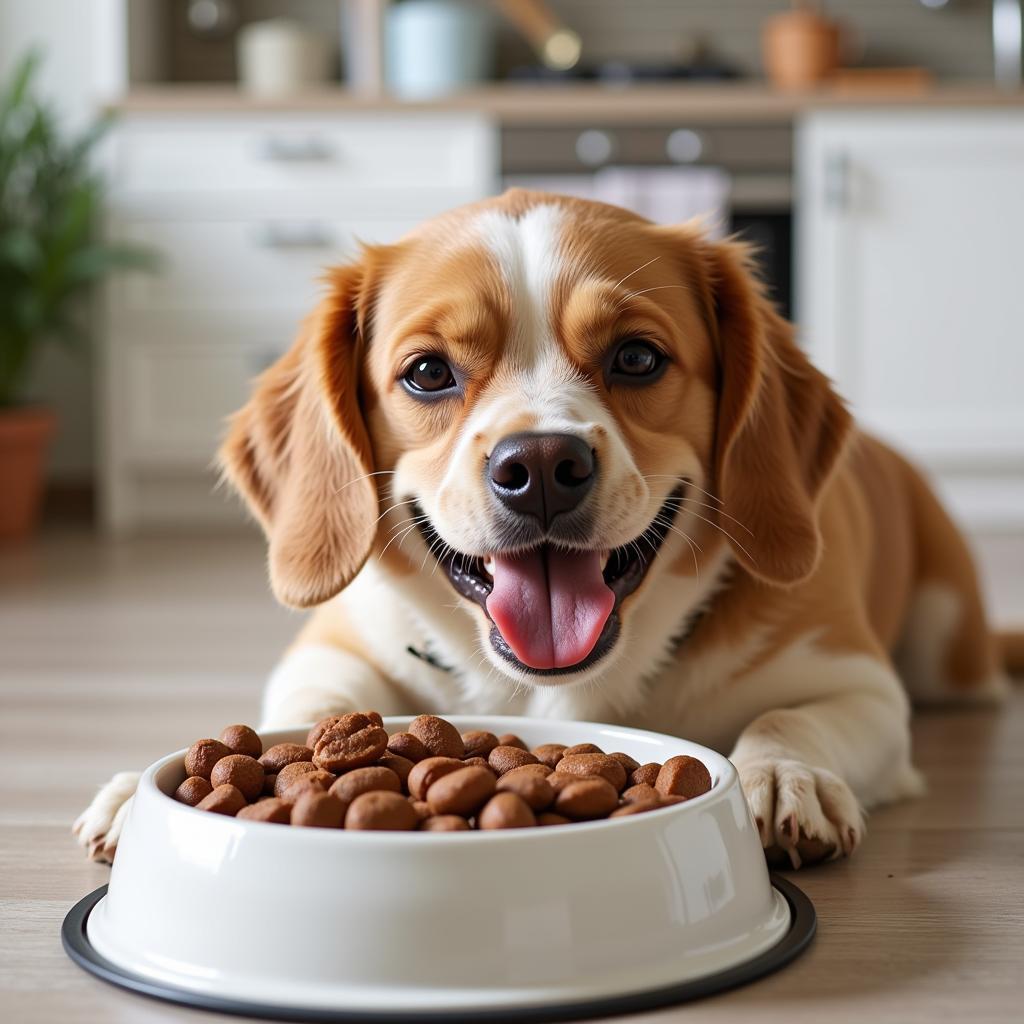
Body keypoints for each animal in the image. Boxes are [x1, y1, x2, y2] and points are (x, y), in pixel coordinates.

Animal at [75, 190, 1003, 864]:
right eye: (427, 373)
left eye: (637, 357)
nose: (543, 466)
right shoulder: (328, 654)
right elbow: (304, 716)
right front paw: (135, 792)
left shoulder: (861, 684)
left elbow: (789, 720)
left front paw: (780, 778)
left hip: (945, 645)